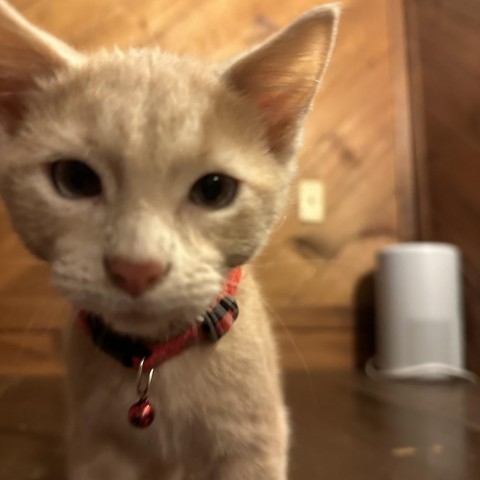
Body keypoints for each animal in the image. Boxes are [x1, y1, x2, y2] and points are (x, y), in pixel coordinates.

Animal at [0, 1, 338, 478]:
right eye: (74, 179)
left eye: (215, 190)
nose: (135, 268)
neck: (154, 359)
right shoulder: (93, 446)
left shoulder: (256, 443)